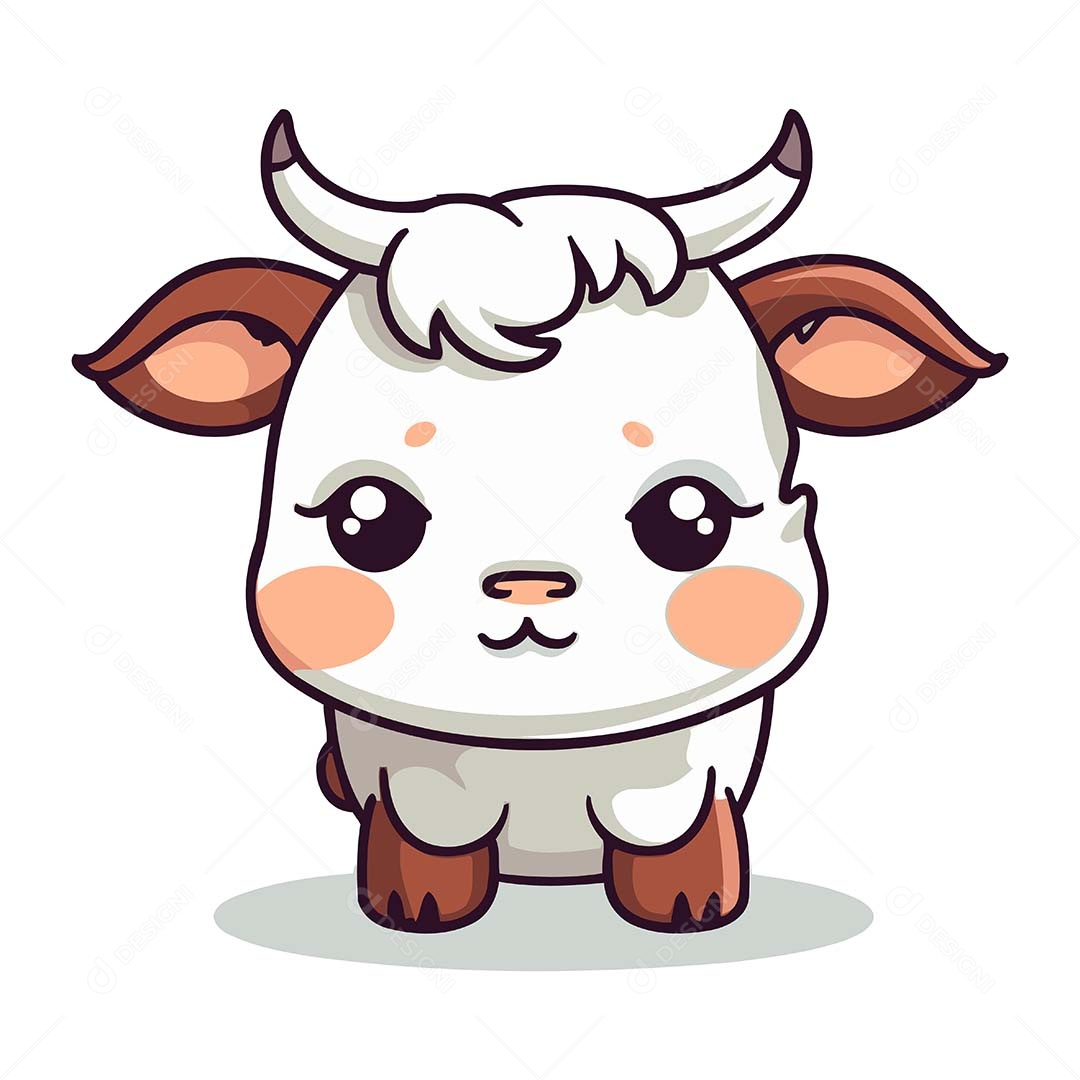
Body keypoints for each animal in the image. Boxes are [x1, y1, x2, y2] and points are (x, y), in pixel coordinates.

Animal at [75, 109, 1005, 934]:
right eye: (365, 520)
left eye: (691, 518)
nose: (529, 584)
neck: (545, 749)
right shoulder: (411, 774)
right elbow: (424, 842)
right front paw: (413, 906)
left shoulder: (690, 769)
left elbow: (677, 838)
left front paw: (692, 904)